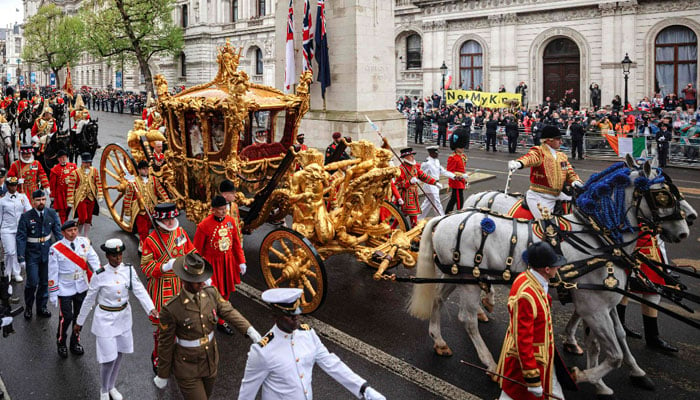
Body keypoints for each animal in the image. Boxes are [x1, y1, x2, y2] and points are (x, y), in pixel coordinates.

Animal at [408, 159, 692, 396]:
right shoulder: (593, 306)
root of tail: (445, 218)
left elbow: (617, 338)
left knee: (437, 299)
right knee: (466, 319)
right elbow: (613, 354)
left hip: (457, 275)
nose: (686, 227)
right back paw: (489, 362)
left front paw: (623, 374)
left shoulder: (602, 303)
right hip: (469, 280)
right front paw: (582, 375)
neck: (597, 238)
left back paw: (440, 341)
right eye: (663, 194)